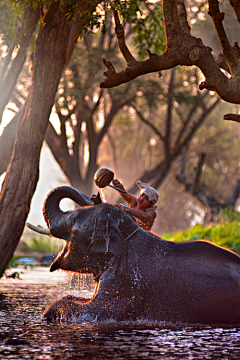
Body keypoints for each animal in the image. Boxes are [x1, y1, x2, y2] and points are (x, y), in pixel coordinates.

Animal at [39, 187, 240, 324]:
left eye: (73, 220)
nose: (95, 195)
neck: (126, 234)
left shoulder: (127, 283)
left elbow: (97, 310)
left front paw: (48, 314)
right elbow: (72, 298)